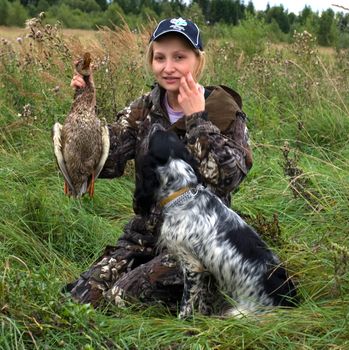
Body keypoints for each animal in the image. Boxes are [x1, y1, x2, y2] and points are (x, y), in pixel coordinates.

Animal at [133, 129, 296, 318]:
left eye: (153, 137)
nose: (157, 126)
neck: (184, 194)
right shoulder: (205, 268)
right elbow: (203, 298)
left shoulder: (191, 264)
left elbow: (187, 302)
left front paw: (181, 320)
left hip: (238, 312)